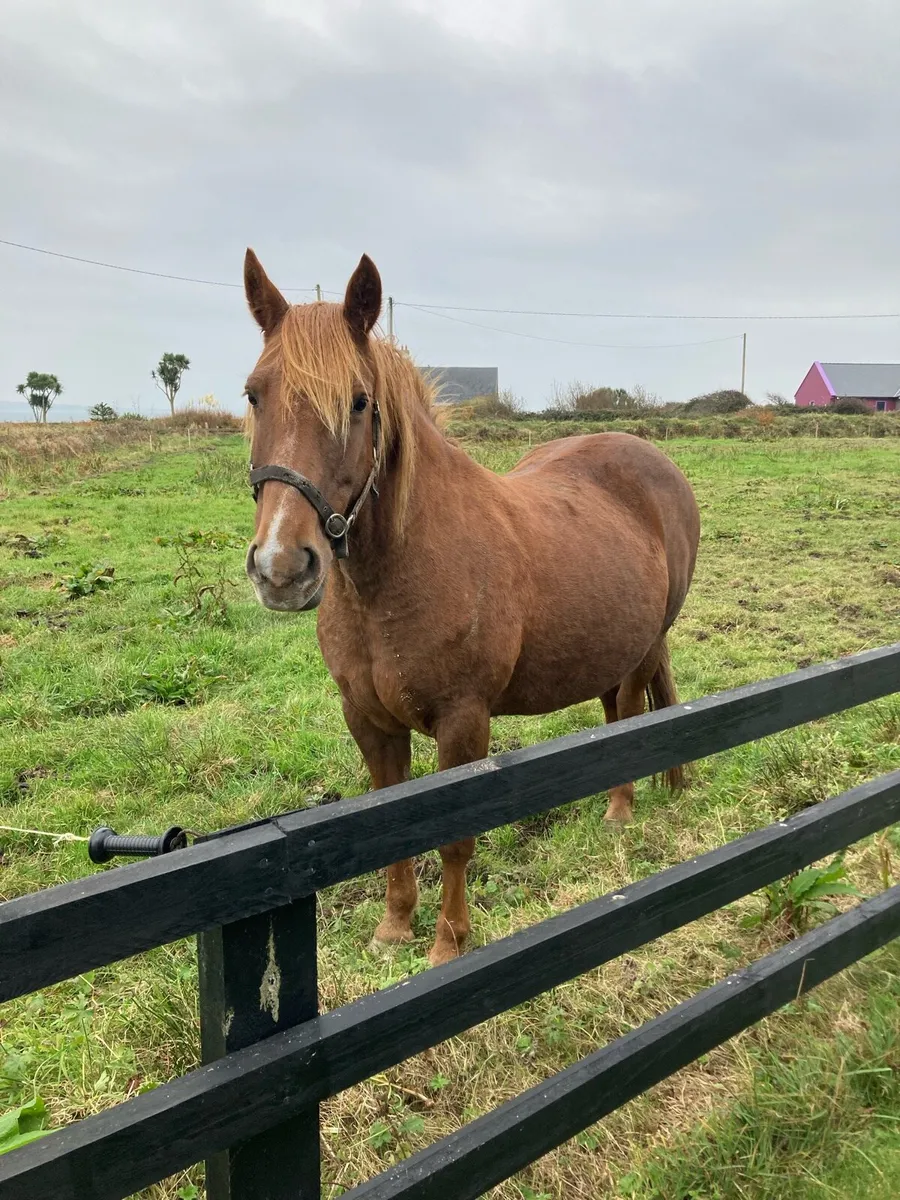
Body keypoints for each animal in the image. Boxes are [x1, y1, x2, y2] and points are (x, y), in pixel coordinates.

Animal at [242, 249, 700, 966]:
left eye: (360, 402)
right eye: (253, 394)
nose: (282, 568)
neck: (392, 584)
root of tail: (653, 459)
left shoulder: (463, 721)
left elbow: (455, 840)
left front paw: (447, 945)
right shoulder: (368, 720)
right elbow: (389, 823)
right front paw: (393, 927)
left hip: (645, 643)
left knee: (630, 712)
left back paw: (621, 812)